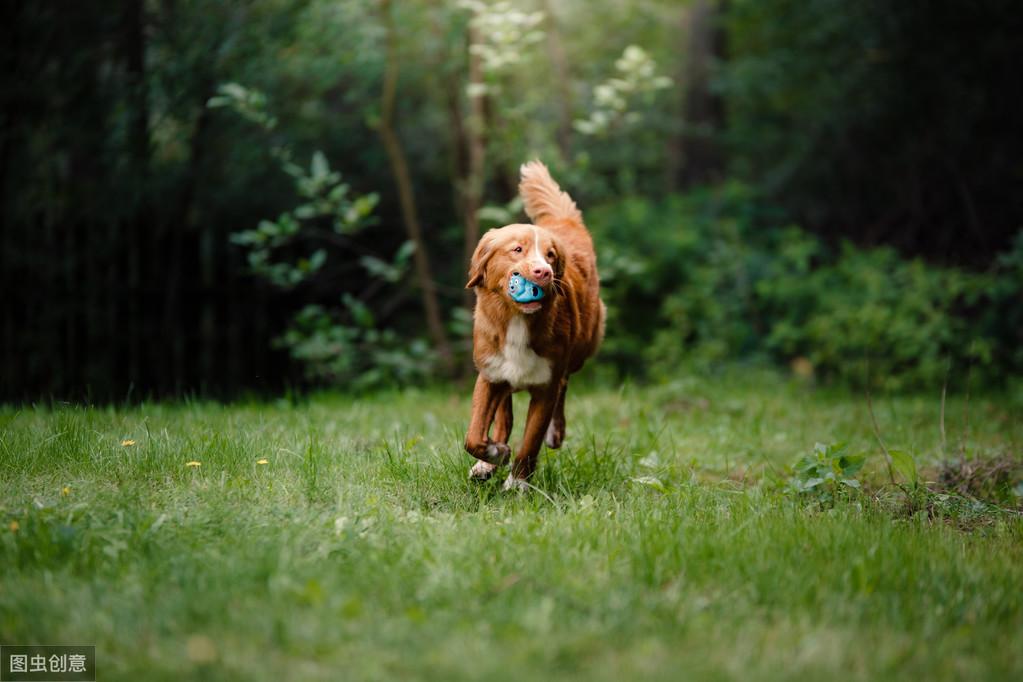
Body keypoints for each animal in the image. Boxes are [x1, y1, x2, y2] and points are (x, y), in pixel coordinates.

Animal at [462, 160, 601, 490]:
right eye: (517, 250)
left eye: (550, 255)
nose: (544, 272)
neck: (516, 321)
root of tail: (565, 222)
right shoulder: (489, 374)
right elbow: (473, 436)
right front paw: (493, 454)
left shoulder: (546, 387)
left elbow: (530, 443)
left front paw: (517, 484)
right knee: (505, 413)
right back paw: (489, 460)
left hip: (581, 350)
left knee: (564, 386)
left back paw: (554, 432)